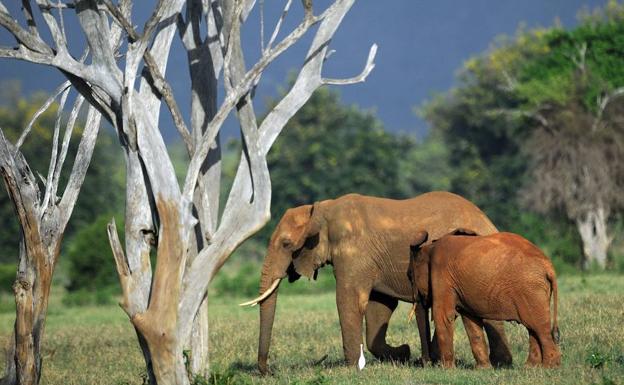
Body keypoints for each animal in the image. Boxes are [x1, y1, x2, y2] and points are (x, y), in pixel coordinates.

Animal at [239, 191, 512, 372]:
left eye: (286, 244)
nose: (268, 371)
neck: (321, 210)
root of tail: (486, 220)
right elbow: (379, 307)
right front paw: (402, 354)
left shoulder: (354, 253)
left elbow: (349, 301)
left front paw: (350, 369)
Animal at [410, 230, 560, 368]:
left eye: (411, 278)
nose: (427, 364)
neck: (430, 248)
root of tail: (549, 265)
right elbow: (470, 320)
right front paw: (483, 369)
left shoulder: (442, 275)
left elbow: (443, 315)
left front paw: (447, 370)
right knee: (532, 328)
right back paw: (530, 367)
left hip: (531, 290)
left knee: (540, 328)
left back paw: (549, 367)